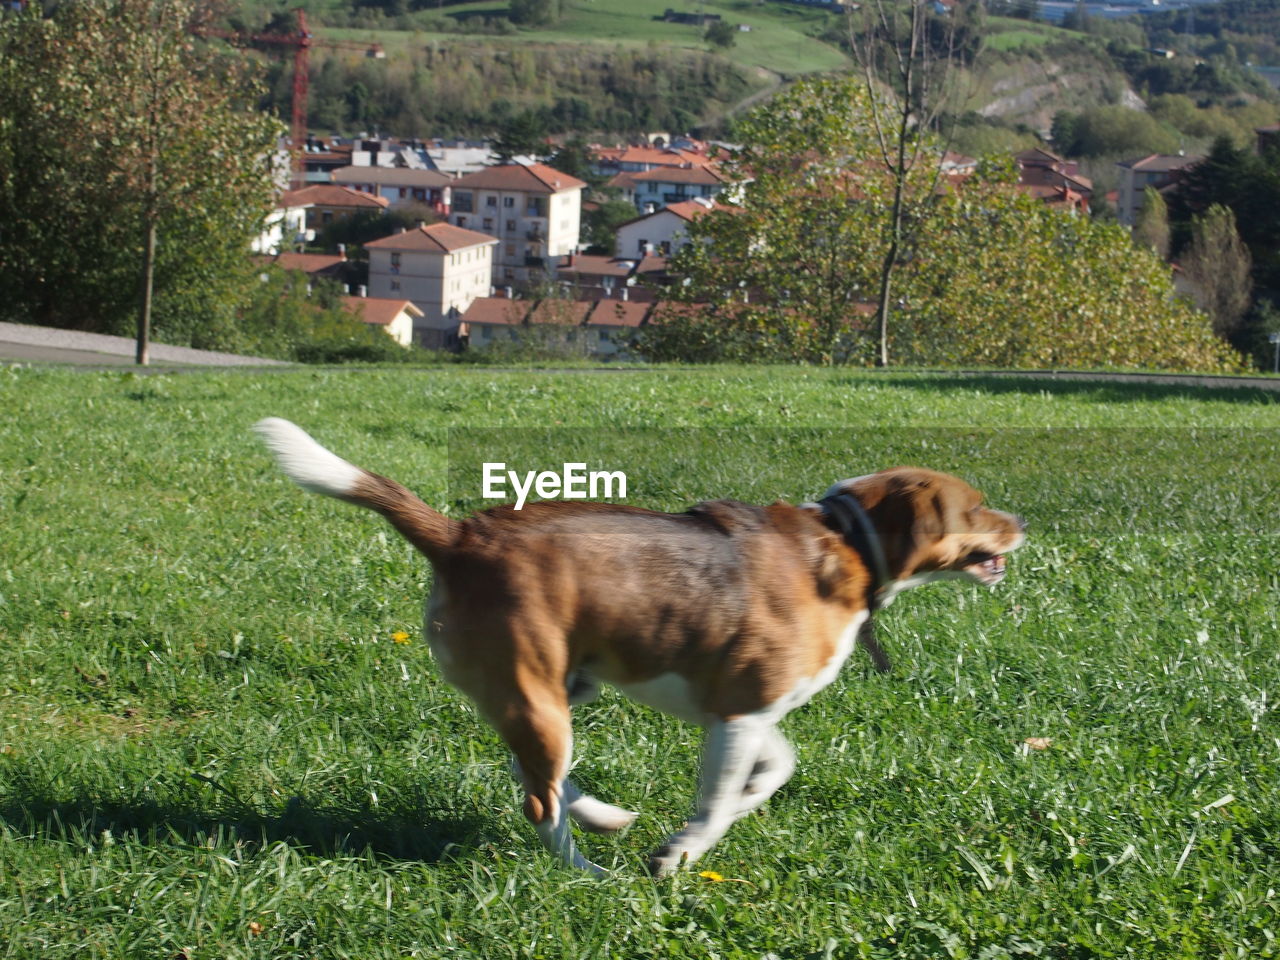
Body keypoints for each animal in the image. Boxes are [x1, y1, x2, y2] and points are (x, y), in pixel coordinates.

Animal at [254, 417, 1024, 875]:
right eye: (976, 506)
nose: (1022, 524)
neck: (849, 541)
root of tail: (458, 534)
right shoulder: (741, 712)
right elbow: (714, 805)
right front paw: (680, 854)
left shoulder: (743, 712)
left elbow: (777, 768)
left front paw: (744, 799)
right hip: (540, 696)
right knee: (538, 802)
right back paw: (588, 874)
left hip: (555, 690)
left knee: (531, 773)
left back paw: (601, 815)